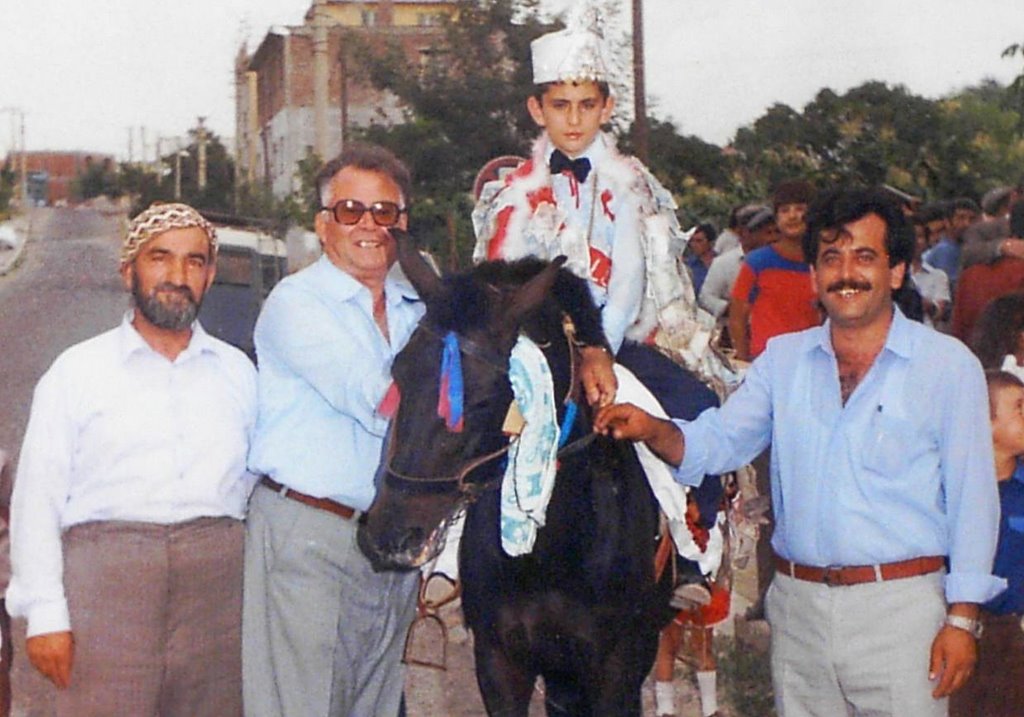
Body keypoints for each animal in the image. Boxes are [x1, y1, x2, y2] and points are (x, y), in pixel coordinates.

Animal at [356, 237, 675, 712]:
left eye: (486, 399)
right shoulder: (500, 660)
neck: (555, 552)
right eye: (400, 372)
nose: (390, 537)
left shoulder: (617, 672)